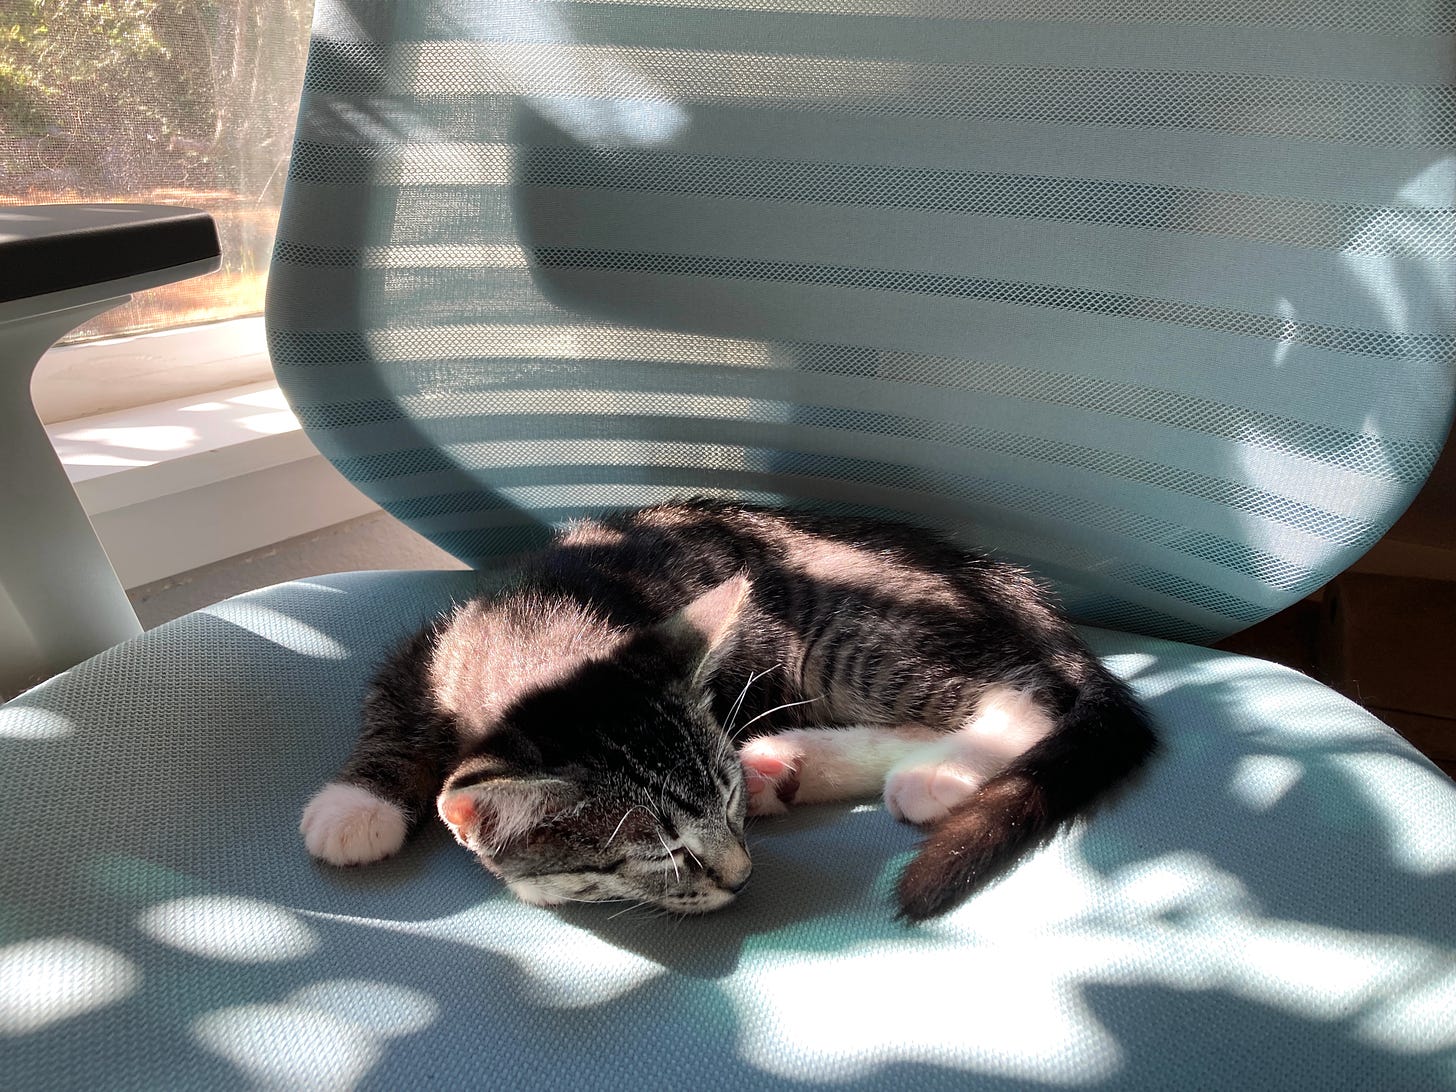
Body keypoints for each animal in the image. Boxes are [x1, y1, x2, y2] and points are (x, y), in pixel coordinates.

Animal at [301, 503, 1153, 926]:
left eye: (726, 810)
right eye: (661, 852)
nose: (742, 877)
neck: (536, 632)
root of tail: (1000, 583)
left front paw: (349, 810)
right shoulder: (437, 643)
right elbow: (393, 703)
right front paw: (361, 799)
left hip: (851, 626)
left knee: (1024, 695)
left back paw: (936, 772)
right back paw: (791, 761)